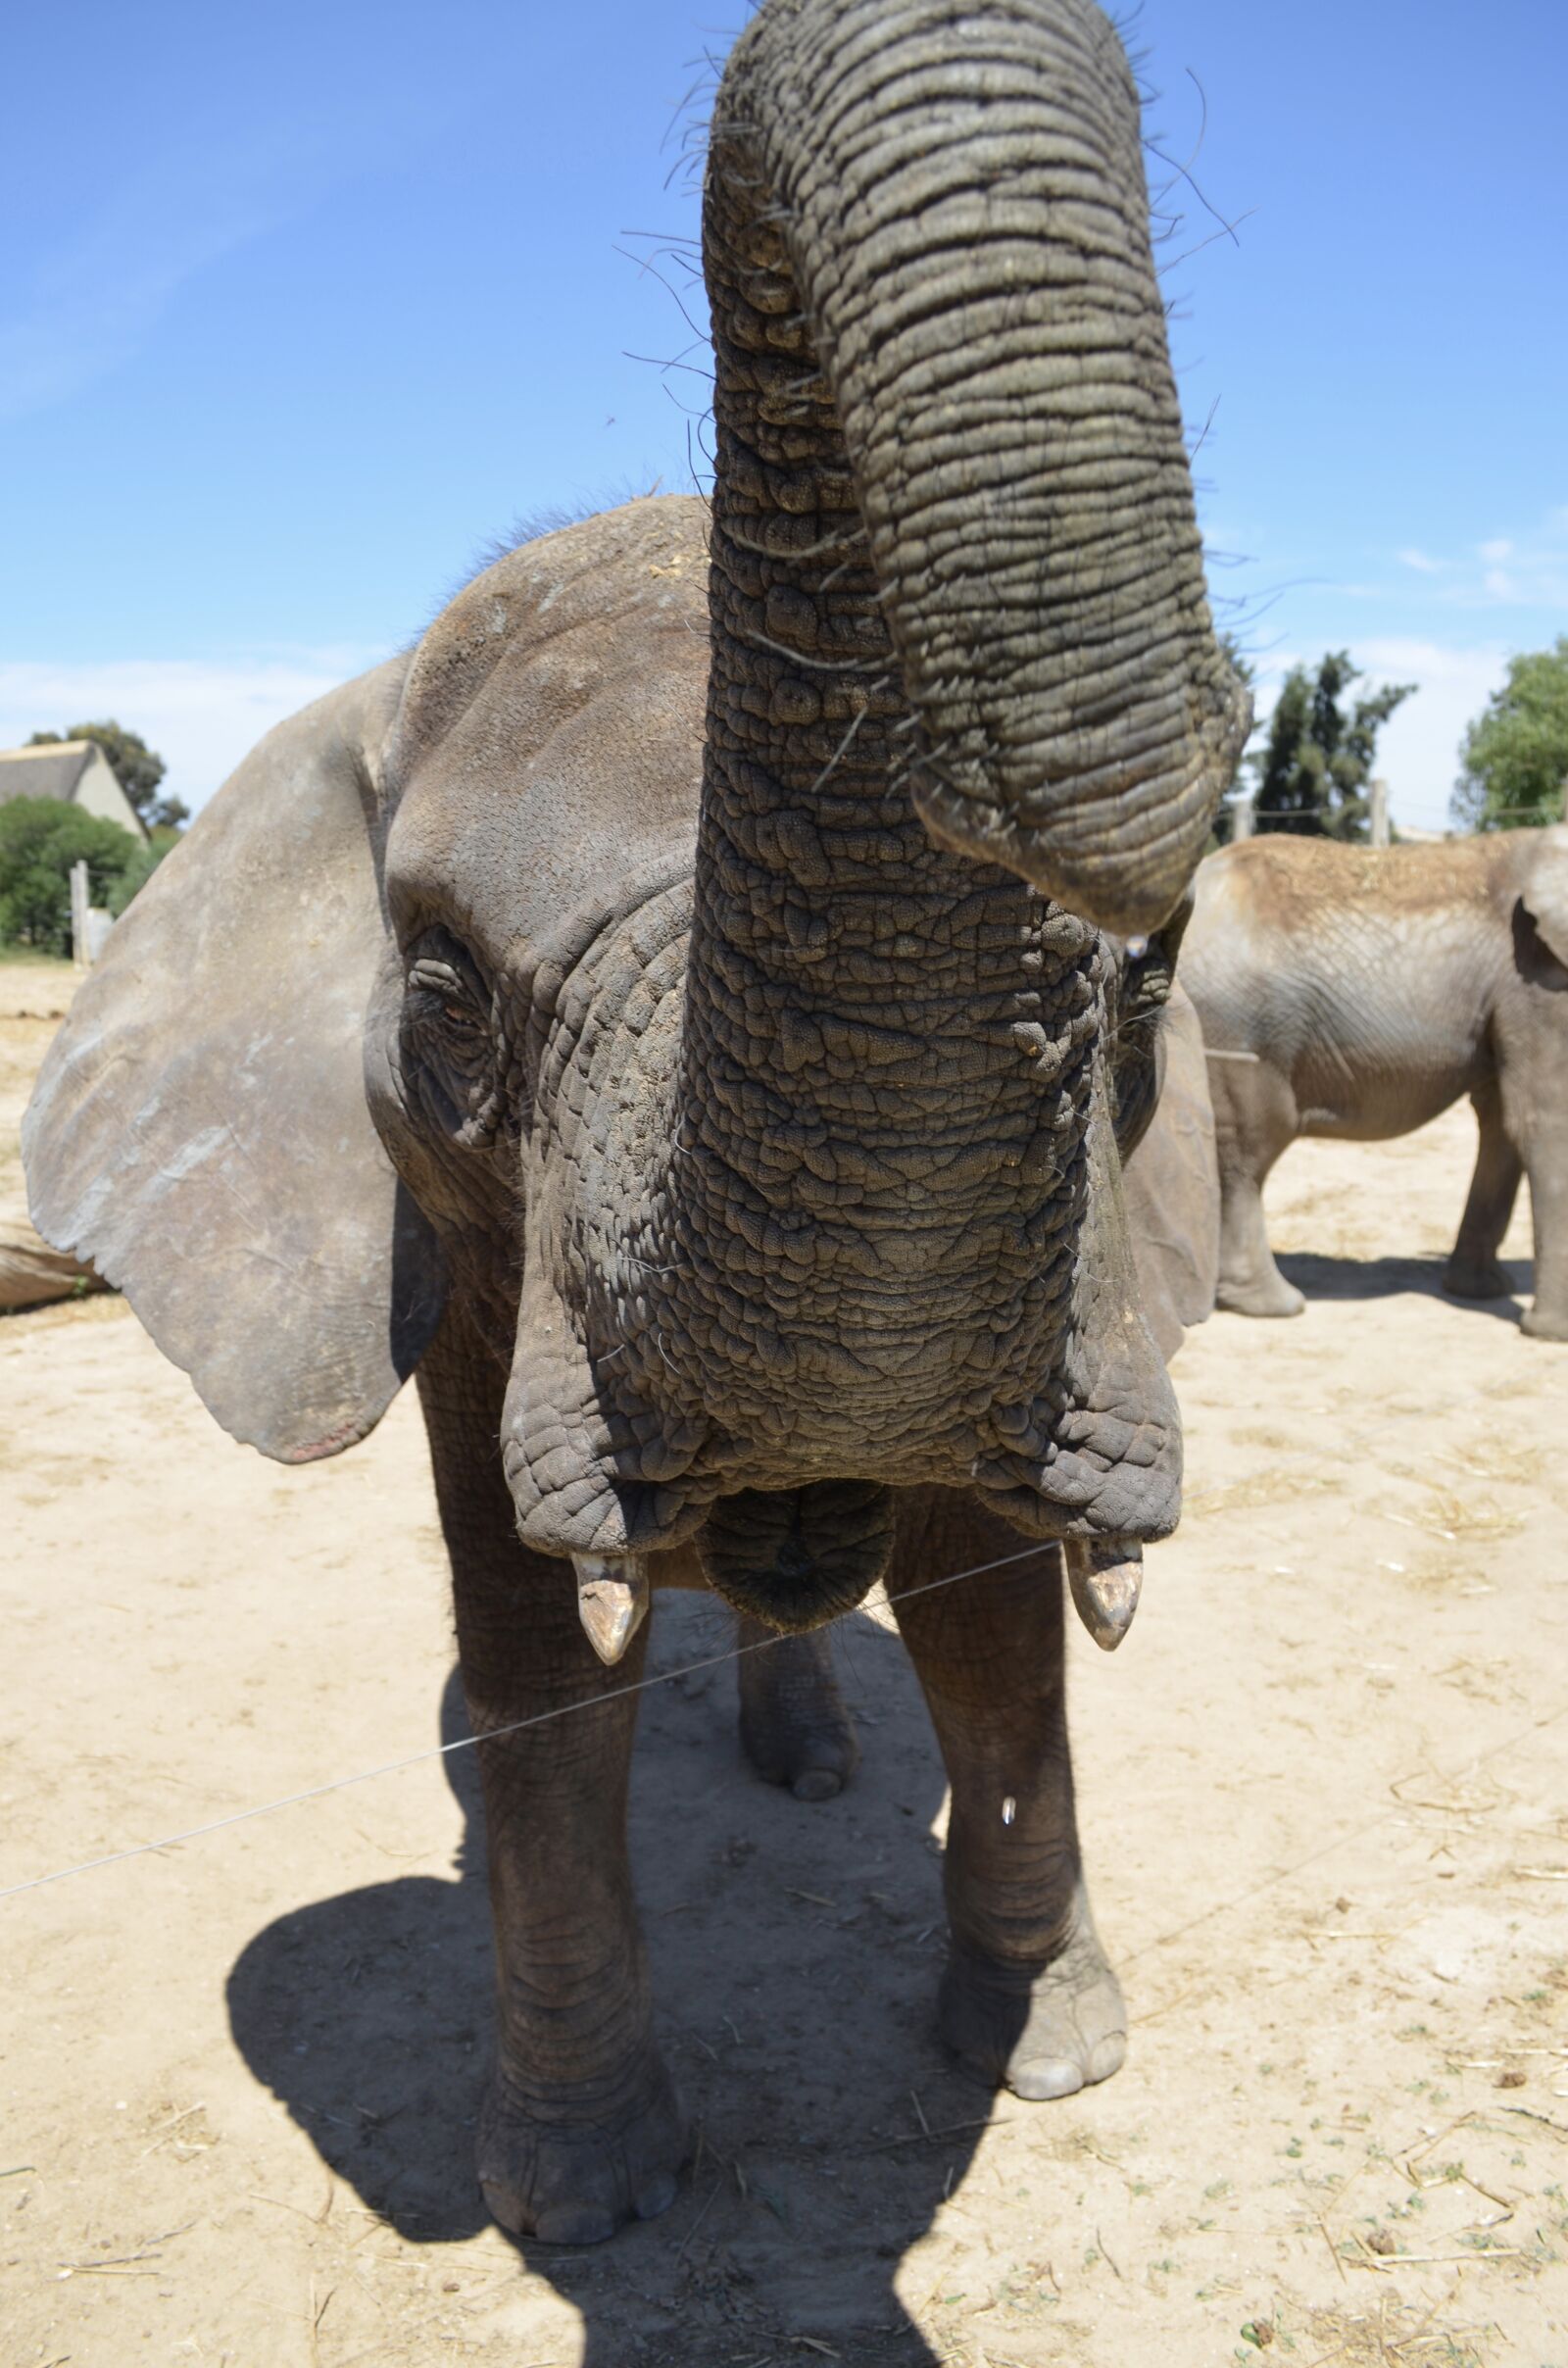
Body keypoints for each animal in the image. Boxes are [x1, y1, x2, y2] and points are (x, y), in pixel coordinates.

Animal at [24, 0, 1242, 2245]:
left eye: (1134, 996)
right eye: (436, 992)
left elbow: (989, 1622)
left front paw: (1045, 2057)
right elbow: (534, 1667)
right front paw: (577, 2196)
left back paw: (807, 1756)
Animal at [1180, 828, 1568, 1339]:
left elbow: (1501, 1119)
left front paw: (1481, 1291)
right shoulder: (1537, 981)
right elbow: (1541, 1120)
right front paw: (1550, 1333)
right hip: (1239, 1028)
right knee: (1254, 1145)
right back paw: (1274, 1306)